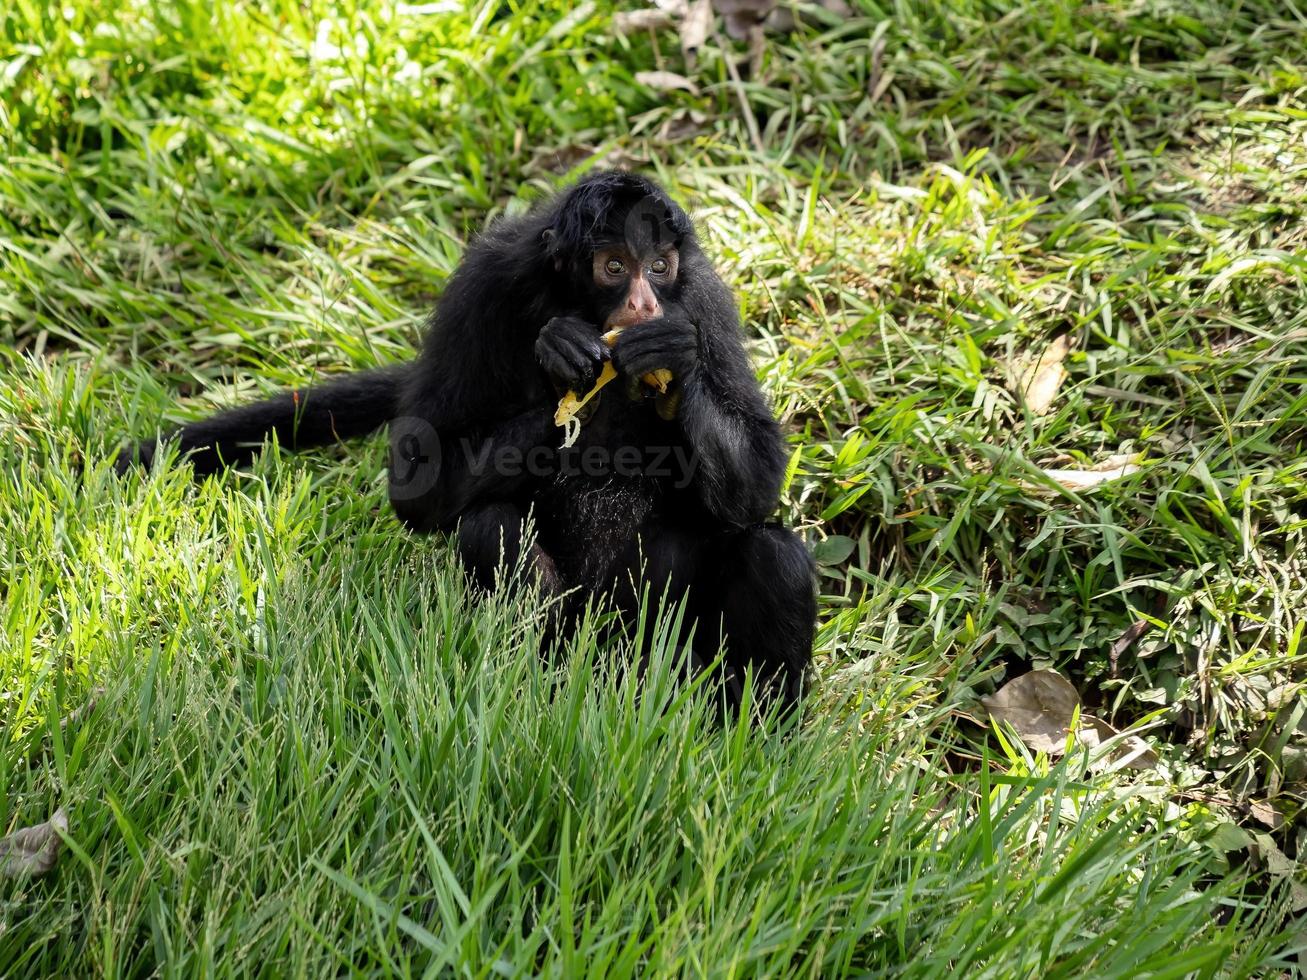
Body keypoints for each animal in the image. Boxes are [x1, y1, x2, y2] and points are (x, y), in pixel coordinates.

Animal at [120, 172, 815, 716]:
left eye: (660, 268)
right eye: (616, 267)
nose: (645, 304)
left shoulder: (701, 300)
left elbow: (759, 480)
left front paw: (668, 363)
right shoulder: (487, 282)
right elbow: (416, 477)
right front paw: (561, 356)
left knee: (772, 552)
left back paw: (752, 734)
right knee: (491, 526)